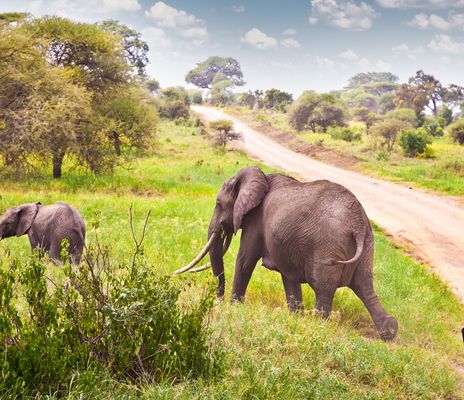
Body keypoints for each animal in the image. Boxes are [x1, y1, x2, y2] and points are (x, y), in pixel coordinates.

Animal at [175, 166, 398, 340]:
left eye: (219, 204)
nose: (218, 300)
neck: (261, 177)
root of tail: (357, 223)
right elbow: (288, 277)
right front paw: (295, 316)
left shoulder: (256, 221)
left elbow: (244, 262)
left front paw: (233, 307)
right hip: (368, 245)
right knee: (365, 287)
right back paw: (389, 331)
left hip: (328, 246)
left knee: (324, 288)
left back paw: (318, 325)